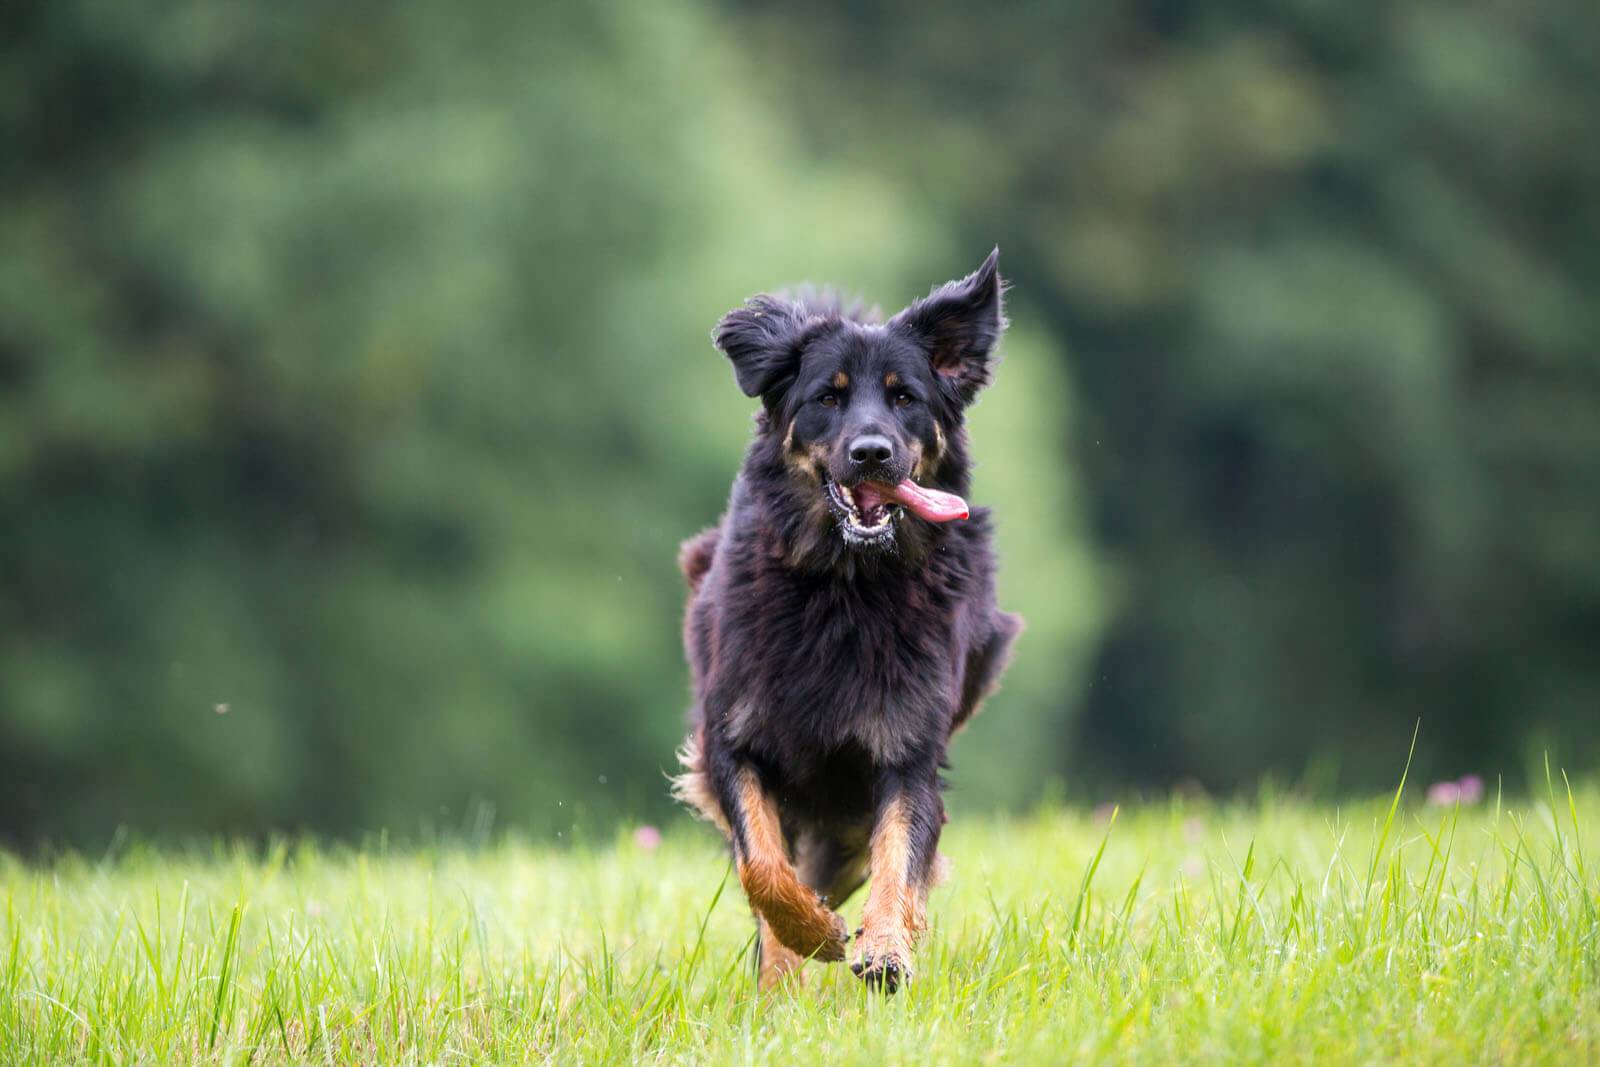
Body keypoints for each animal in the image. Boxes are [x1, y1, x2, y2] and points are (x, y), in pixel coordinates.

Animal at [668, 251, 1017, 991]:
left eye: (905, 398)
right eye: (826, 399)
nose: (872, 453)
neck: (844, 588)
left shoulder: (908, 753)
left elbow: (898, 856)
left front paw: (885, 948)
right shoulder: (731, 742)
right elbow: (764, 867)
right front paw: (808, 939)